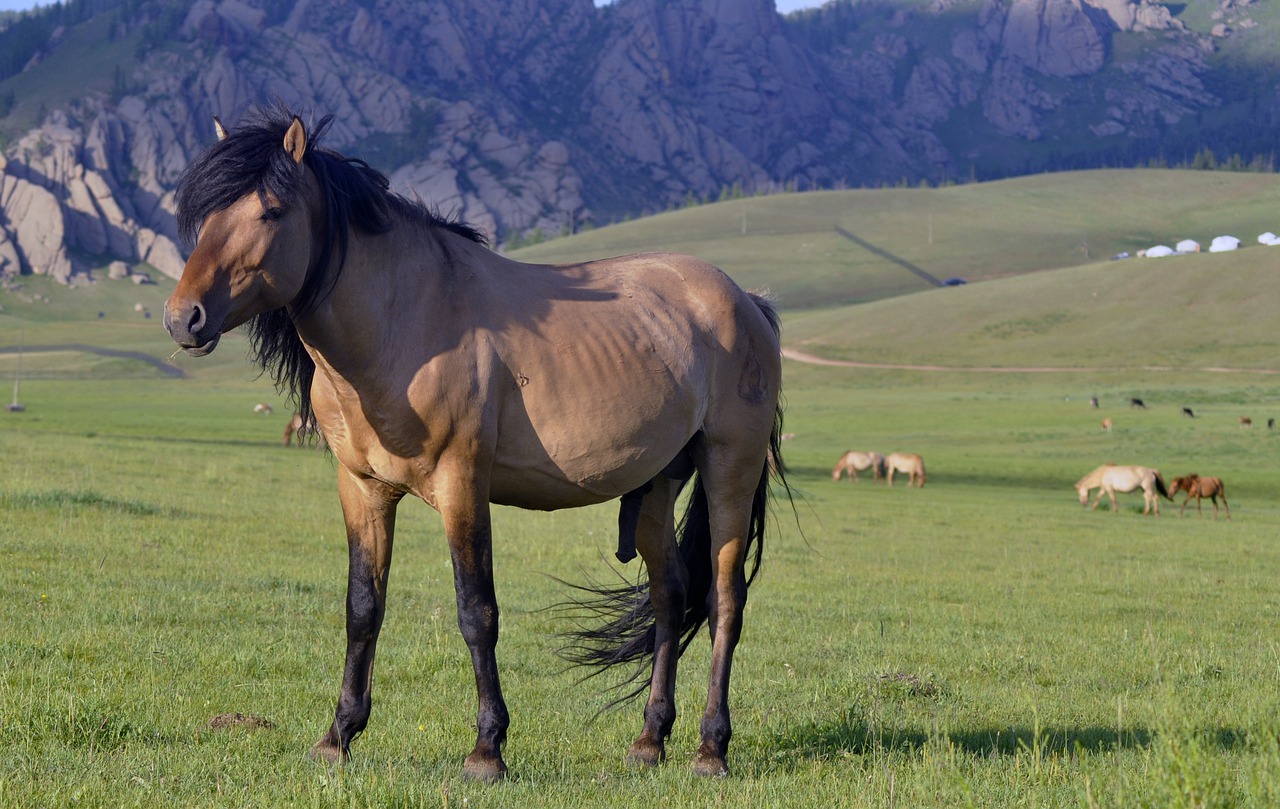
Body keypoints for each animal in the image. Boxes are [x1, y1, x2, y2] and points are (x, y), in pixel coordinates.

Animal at [162, 106, 787, 781]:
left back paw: (711, 747)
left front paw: (488, 748)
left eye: (271, 211)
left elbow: (476, 612)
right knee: (670, 596)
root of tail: (746, 301)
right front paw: (339, 736)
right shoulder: (363, 489)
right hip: (657, 484)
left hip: (728, 471)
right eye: (206, 216)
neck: (407, 321)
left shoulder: (462, 485)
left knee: (724, 600)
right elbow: (363, 608)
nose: (183, 318)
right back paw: (649, 742)